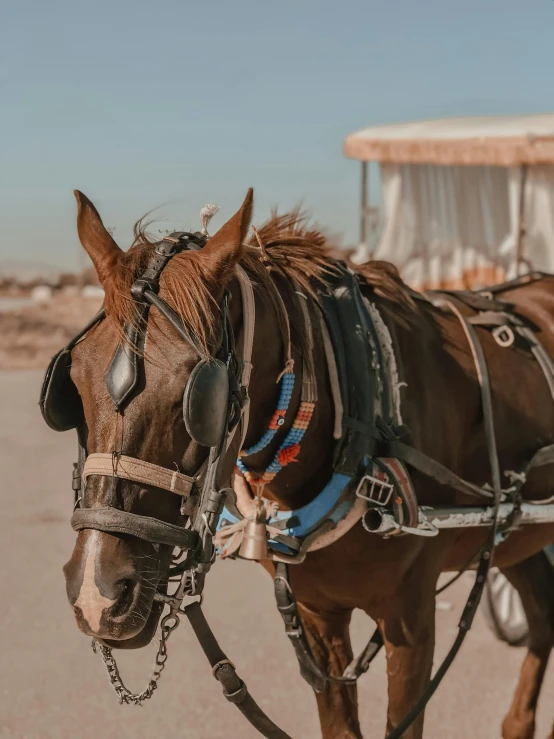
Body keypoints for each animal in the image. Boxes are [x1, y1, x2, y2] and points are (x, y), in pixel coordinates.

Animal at [60, 191, 552, 739]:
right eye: (73, 381)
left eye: (198, 395)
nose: (98, 594)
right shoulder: (318, 615)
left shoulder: (412, 621)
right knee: (543, 616)